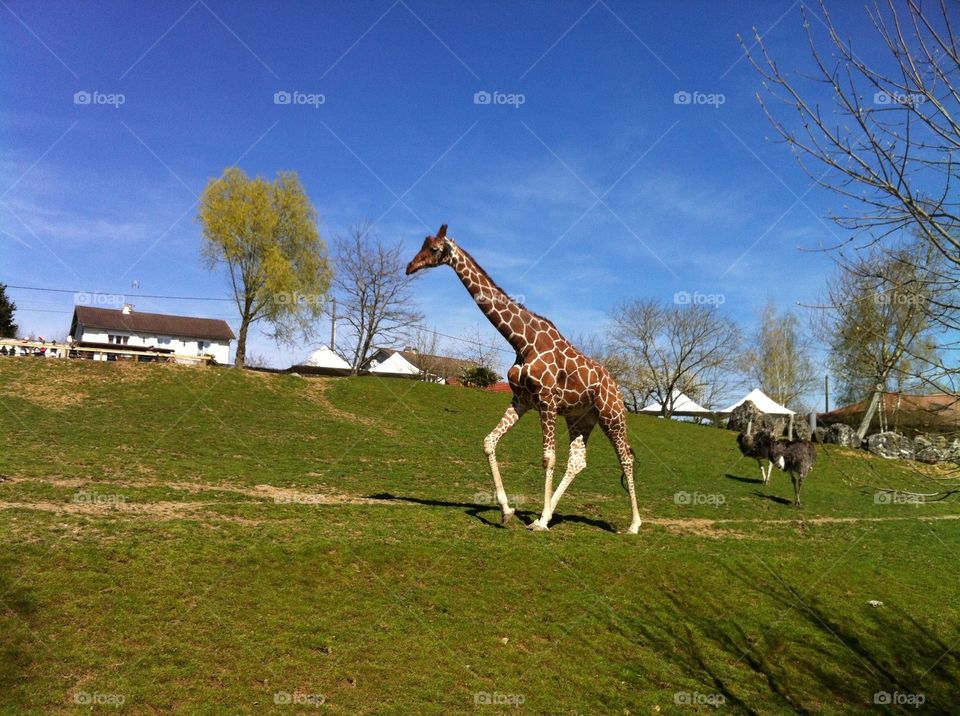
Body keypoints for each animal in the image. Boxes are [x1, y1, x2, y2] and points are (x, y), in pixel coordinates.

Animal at [406, 225, 642, 533]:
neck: (521, 340)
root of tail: (618, 388)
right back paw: (551, 513)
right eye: (422, 245)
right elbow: (489, 442)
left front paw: (539, 522)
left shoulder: (547, 401)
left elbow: (547, 458)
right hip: (581, 418)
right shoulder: (522, 400)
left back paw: (634, 525)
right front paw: (508, 511)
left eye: (433, 249)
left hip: (611, 414)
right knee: (578, 461)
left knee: (625, 457)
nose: (410, 267)